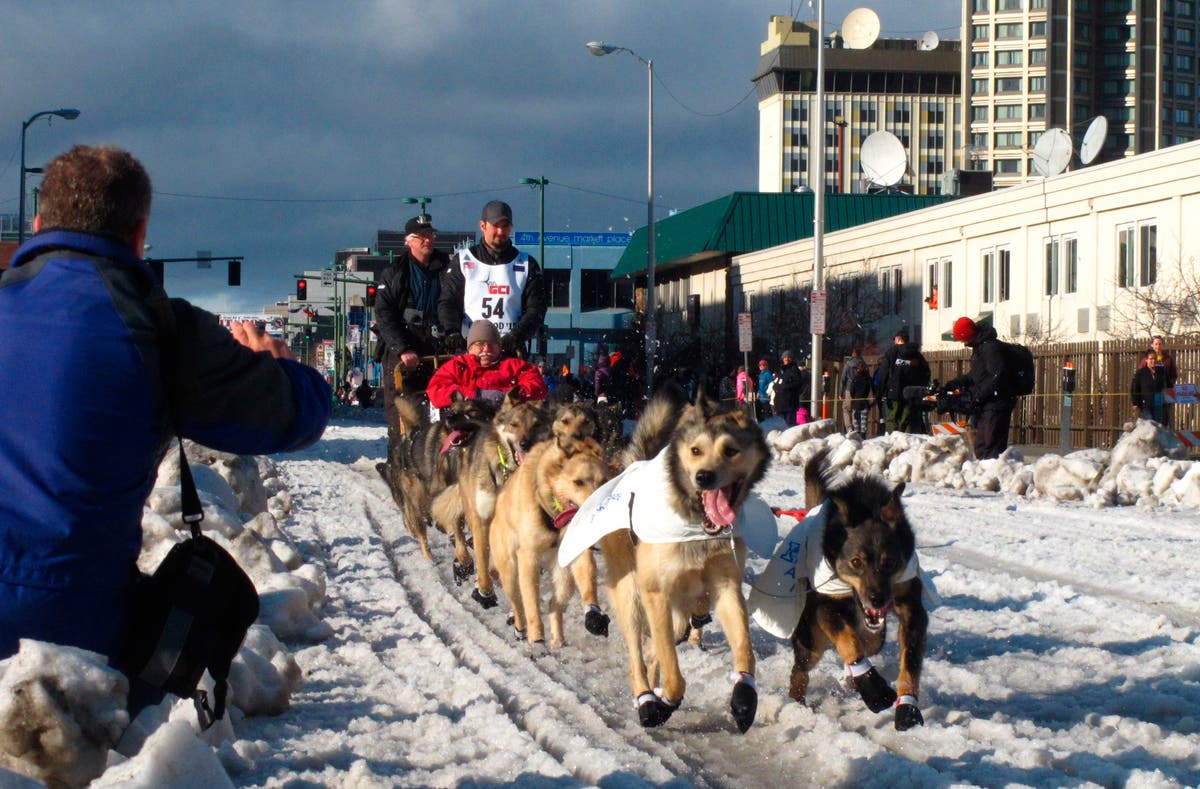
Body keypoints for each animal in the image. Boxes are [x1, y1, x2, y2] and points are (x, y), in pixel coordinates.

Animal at [787, 448, 926, 729]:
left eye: (889, 562)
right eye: (855, 562)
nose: (877, 599)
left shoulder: (911, 607)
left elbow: (911, 661)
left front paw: (907, 706)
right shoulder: (828, 607)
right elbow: (849, 642)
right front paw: (873, 687)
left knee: (869, 643)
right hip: (811, 639)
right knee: (801, 670)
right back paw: (795, 705)